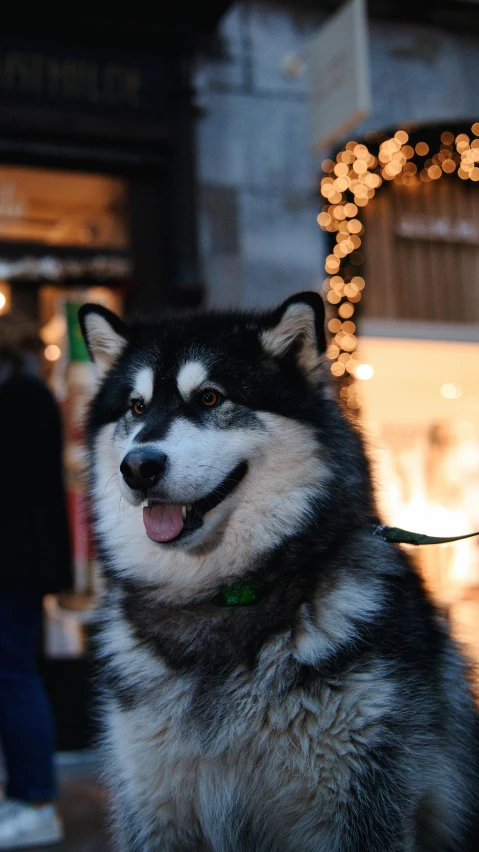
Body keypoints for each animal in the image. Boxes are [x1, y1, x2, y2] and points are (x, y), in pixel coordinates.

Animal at [80, 294, 478, 852]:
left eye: (209, 398)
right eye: (137, 408)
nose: (139, 467)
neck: (219, 599)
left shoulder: (363, 800)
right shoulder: (152, 803)